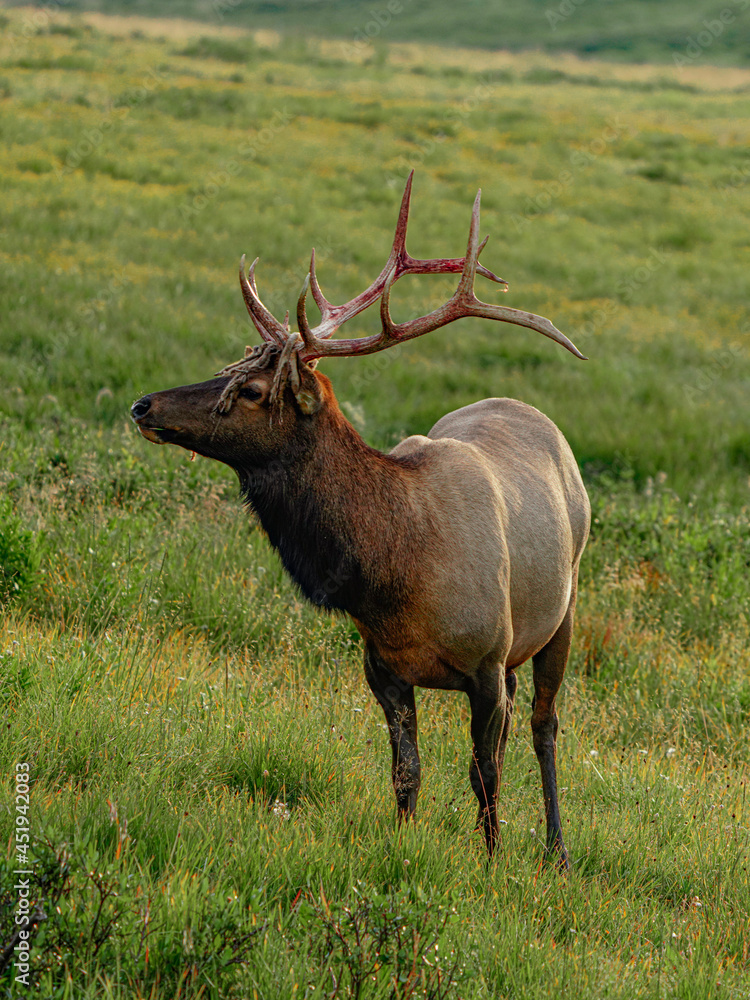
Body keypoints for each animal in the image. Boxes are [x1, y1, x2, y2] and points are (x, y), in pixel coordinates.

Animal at [131, 173, 590, 867]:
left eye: (253, 391)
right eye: (228, 368)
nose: (144, 404)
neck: (394, 576)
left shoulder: (486, 660)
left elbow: (484, 775)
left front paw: (490, 864)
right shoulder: (383, 667)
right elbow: (407, 774)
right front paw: (403, 848)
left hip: (561, 610)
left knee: (543, 726)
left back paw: (556, 851)